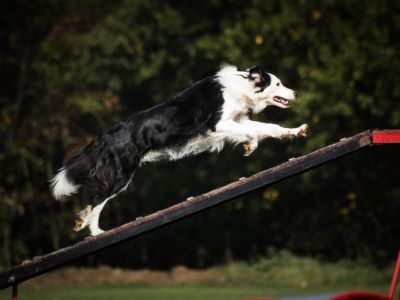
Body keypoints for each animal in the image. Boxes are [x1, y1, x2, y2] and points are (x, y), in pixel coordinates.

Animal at [50, 66, 306, 237]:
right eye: (278, 84)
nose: (295, 93)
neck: (242, 86)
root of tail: (103, 136)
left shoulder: (238, 120)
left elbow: (269, 128)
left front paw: (295, 131)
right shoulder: (218, 124)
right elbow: (255, 131)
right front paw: (252, 144)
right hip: (120, 175)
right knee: (97, 198)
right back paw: (95, 230)